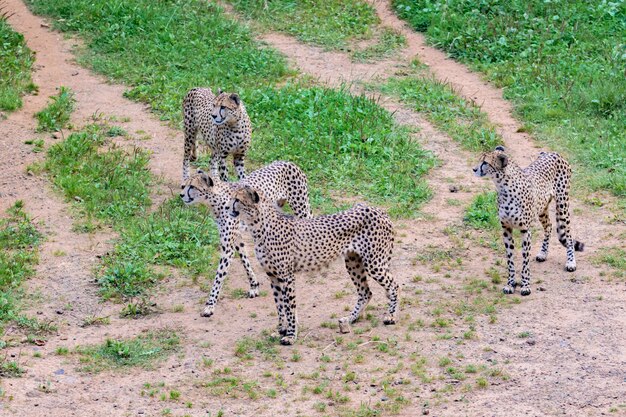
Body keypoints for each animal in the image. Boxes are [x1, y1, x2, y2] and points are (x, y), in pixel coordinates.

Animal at [179, 161, 308, 316]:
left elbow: (218, 277)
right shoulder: (236, 238)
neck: (216, 200)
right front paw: (254, 286)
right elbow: (244, 259)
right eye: (184, 185)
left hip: (301, 208)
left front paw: (210, 305)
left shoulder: (227, 247)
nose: (181, 195)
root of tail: (287, 162)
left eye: (192, 186)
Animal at [228, 186, 394, 344]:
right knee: (366, 292)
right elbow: (279, 306)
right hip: (353, 262)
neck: (258, 226)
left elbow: (289, 307)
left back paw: (390, 316)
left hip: (374, 263)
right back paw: (350, 319)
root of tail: (379, 210)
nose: (228, 208)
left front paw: (290, 336)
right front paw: (281, 330)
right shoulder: (273, 276)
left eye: (237, 200)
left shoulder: (286, 276)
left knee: (393, 284)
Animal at [472, 146, 584, 296]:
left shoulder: (525, 230)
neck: (503, 187)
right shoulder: (506, 229)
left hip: (562, 205)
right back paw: (543, 254)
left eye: (485, 162)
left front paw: (525, 286)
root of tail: (552, 152)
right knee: (549, 226)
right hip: (542, 209)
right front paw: (510, 284)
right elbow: (510, 260)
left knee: (568, 234)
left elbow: (525, 261)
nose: (474, 169)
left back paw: (571, 262)